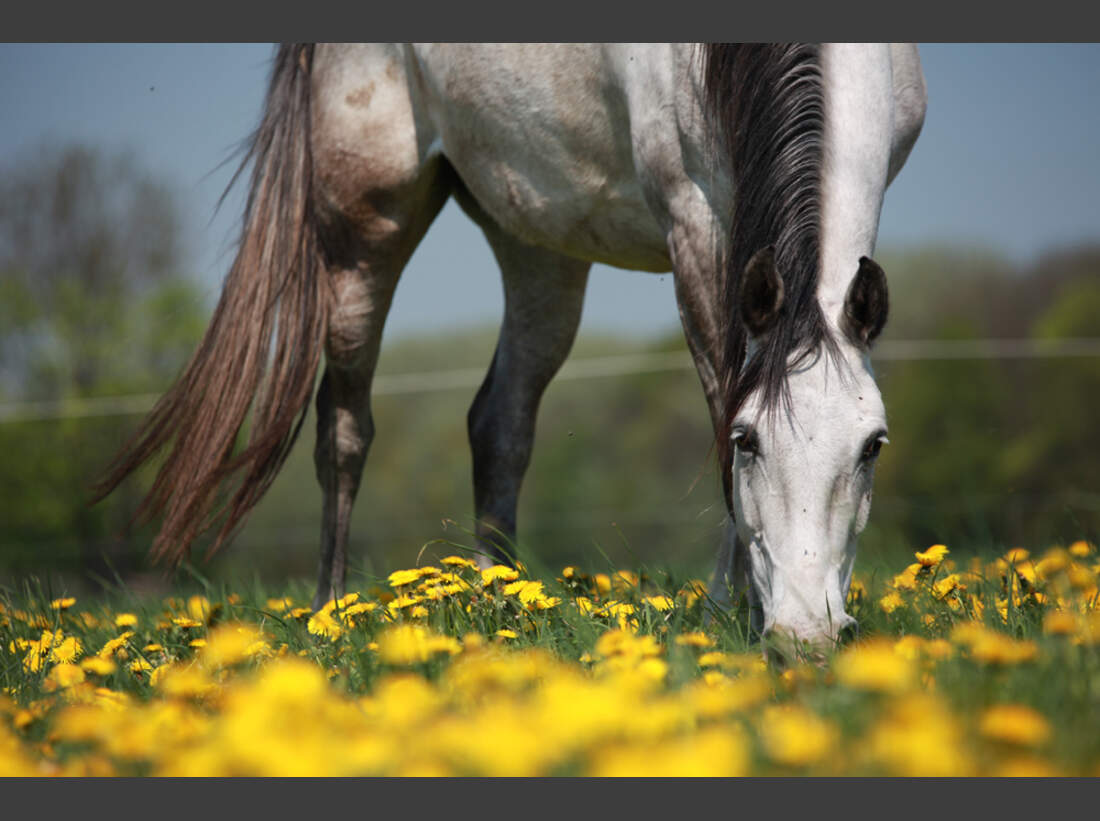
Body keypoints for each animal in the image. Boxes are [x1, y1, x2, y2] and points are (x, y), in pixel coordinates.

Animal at [95, 43, 926, 659]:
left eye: (874, 445)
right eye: (749, 442)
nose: (806, 635)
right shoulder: (694, 224)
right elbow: (720, 394)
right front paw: (736, 610)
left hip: (535, 242)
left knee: (498, 423)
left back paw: (500, 604)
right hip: (367, 226)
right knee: (343, 428)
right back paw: (332, 612)